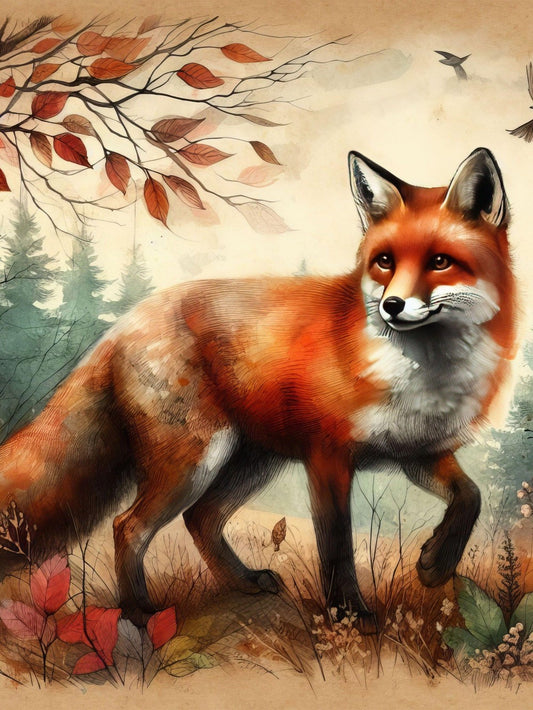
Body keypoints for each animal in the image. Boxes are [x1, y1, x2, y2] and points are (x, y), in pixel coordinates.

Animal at [0, 147, 517, 629]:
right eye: (385, 262)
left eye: (441, 262)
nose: (391, 306)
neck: (419, 374)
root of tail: (125, 321)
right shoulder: (327, 456)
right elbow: (336, 545)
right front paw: (349, 614)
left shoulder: (419, 452)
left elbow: (471, 498)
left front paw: (435, 564)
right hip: (194, 460)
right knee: (128, 526)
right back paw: (140, 615)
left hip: (251, 461)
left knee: (200, 519)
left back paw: (242, 582)